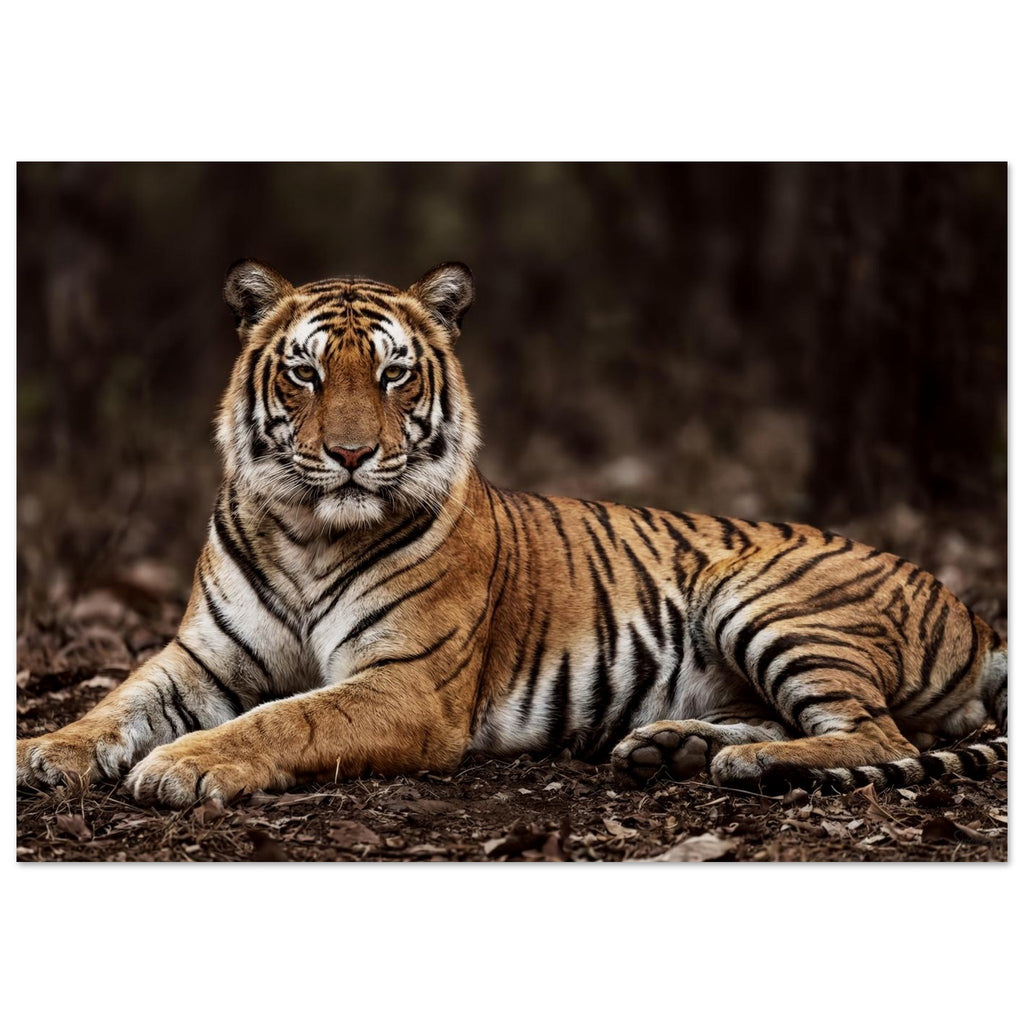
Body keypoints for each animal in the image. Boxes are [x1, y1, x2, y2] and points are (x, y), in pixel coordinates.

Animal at [17, 260, 1008, 808]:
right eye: (305, 373)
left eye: (394, 375)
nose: (349, 455)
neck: (307, 532)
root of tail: (974, 610)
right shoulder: (202, 657)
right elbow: (117, 703)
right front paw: (41, 752)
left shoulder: (405, 684)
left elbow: (286, 718)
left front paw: (184, 765)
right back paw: (675, 747)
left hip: (760, 591)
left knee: (882, 739)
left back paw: (751, 766)